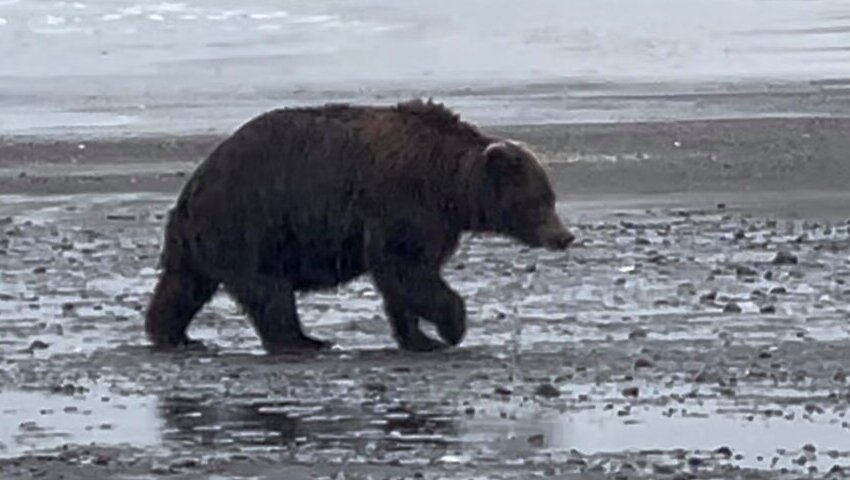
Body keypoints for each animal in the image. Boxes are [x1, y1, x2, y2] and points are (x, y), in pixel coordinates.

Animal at [142, 98, 572, 352]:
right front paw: (451, 327)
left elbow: (404, 279)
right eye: (539, 200)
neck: (449, 183)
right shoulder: (402, 201)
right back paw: (304, 341)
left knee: (183, 286)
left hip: (202, 238)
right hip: (252, 224)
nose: (564, 236)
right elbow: (406, 267)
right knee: (268, 290)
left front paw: (419, 337)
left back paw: (173, 334)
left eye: (552, 197)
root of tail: (194, 185)